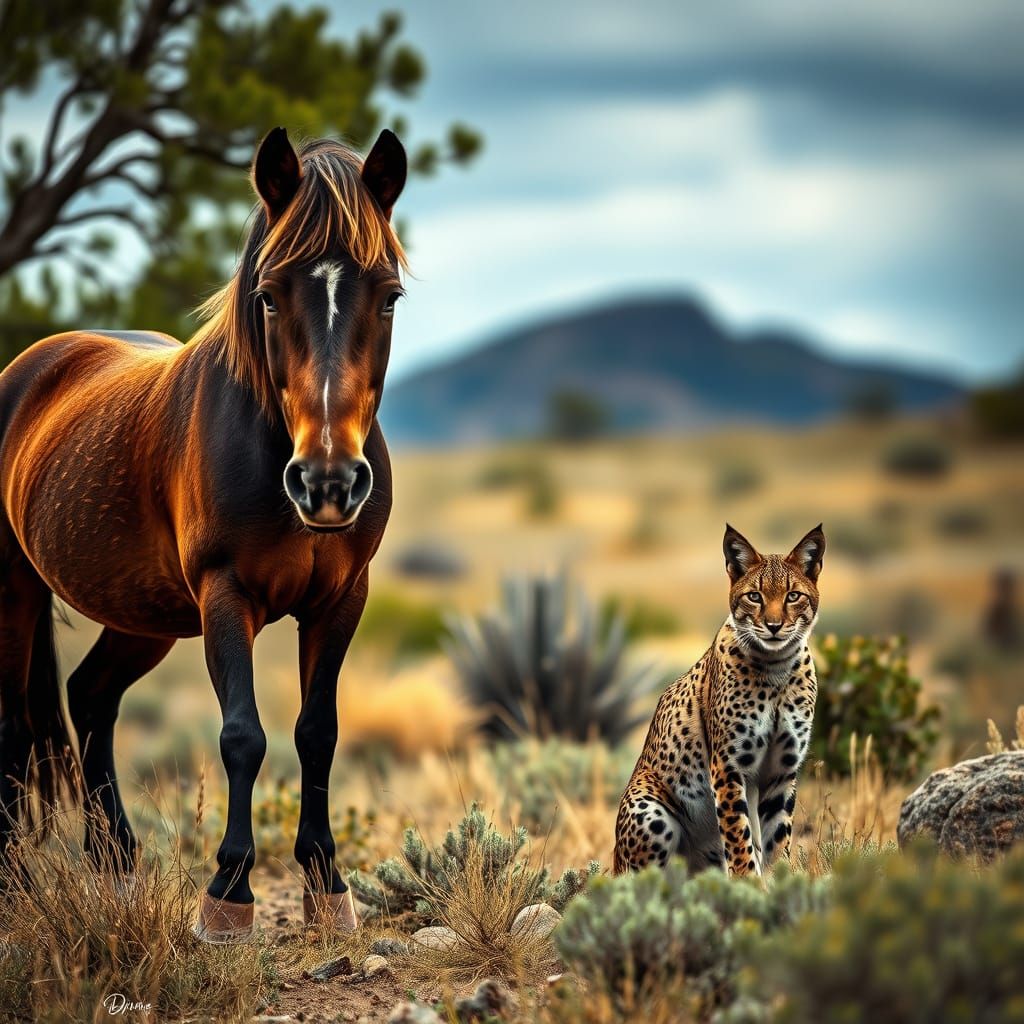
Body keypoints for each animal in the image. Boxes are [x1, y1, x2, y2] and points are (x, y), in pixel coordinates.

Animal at [0, 126, 407, 942]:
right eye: (269, 295)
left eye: (390, 295)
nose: (327, 483)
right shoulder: (227, 596)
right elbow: (242, 735)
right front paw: (228, 892)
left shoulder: (340, 601)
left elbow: (318, 731)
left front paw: (327, 886)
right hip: (15, 592)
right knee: (12, 730)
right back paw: (20, 881)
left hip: (143, 616)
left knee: (90, 695)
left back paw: (117, 864)